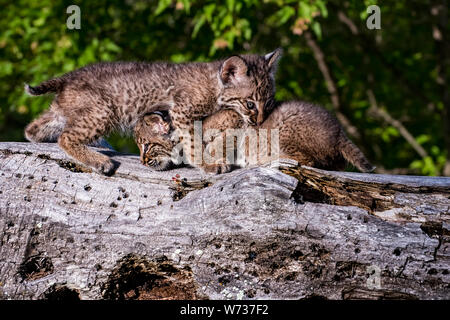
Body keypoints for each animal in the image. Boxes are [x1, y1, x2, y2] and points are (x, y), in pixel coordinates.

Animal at [24, 49, 282, 175]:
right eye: (250, 104)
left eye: (268, 102)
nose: (260, 122)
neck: (215, 84)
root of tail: (70, 76)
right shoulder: (182, 112)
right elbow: (192, 142)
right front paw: (207, 164)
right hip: (104, 111)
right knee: (65, 137)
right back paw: (99, 160)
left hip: (65, 111)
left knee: (32, 129)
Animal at [135, 101, 374, 174]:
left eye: (146, 146)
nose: (143, 162)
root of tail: (339, 131)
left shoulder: (233, 120)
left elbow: (215, 146)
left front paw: (214, 164)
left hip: (282, 127)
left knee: (309, 161)